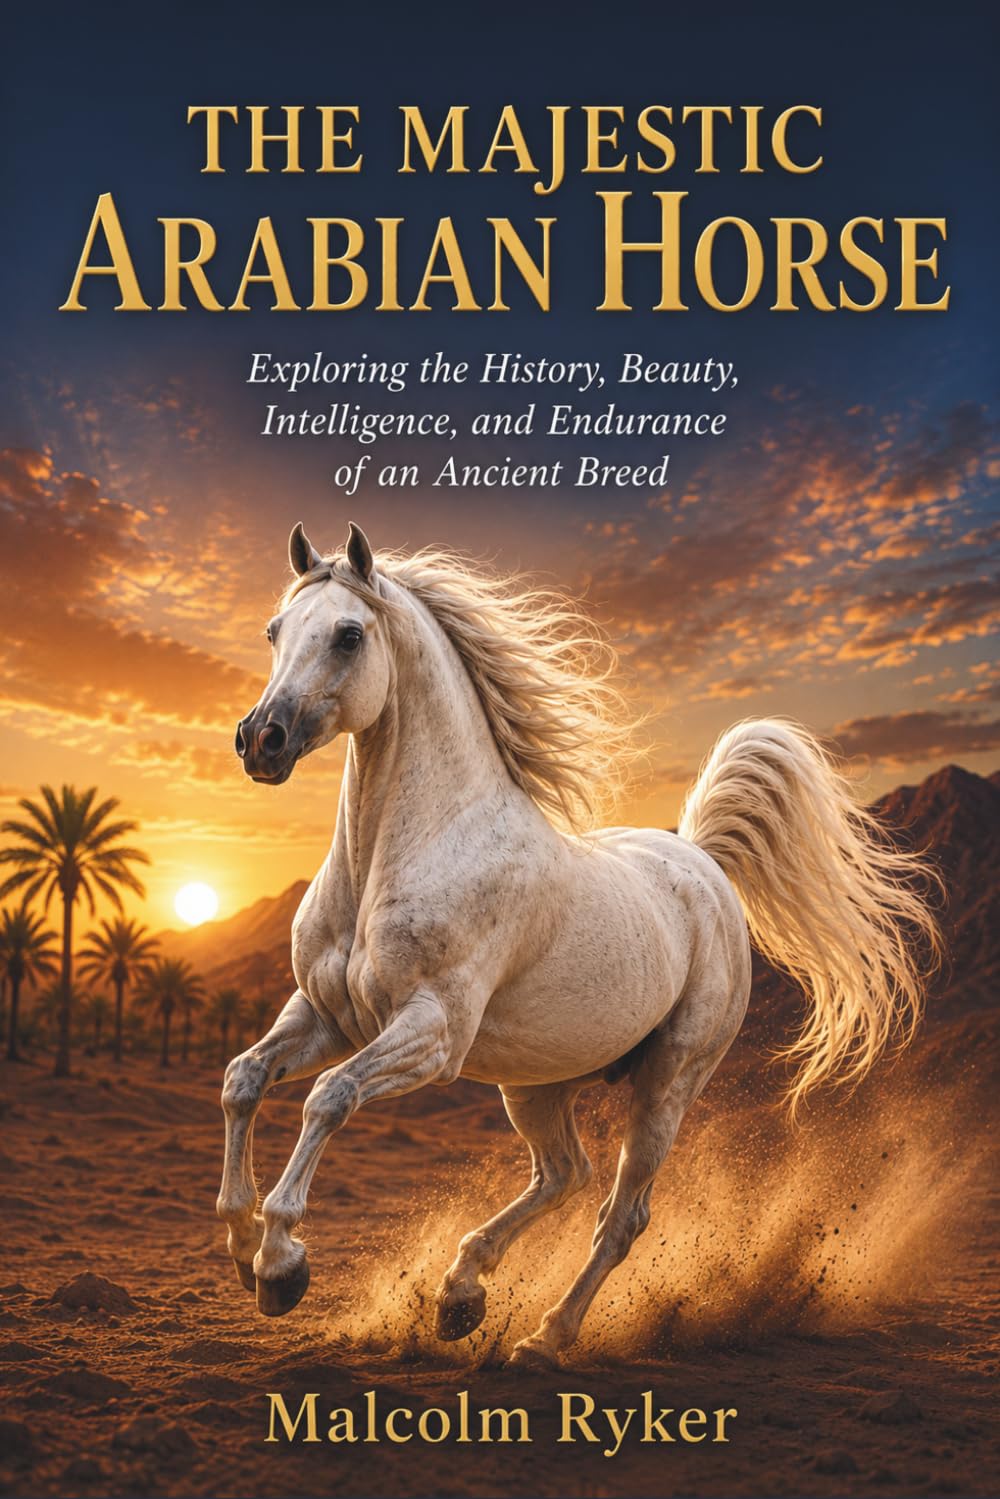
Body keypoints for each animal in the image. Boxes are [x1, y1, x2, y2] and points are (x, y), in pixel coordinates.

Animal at [217, 521, 938, 1367]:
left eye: (348, 634)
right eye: (275, 630)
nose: (259, 740)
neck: (406, 851)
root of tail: (702, 859)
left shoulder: (432, 1033)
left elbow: (329, 1097)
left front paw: (280, 1263)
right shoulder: (326, 1014)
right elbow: (243, 1079)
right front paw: (241, 1245)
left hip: (669, 1081)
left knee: (620, 1214)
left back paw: (544, 1335)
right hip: (535, 1081)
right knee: (565, 1172)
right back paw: (460, 1293)